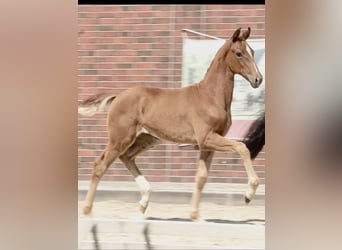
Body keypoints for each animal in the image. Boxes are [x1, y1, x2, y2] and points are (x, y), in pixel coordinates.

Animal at [79, 26, 264, 220]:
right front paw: (248, 194)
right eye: (239, 53)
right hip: (120, 138)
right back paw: (87, 211)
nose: (258, 79)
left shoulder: (207, 144)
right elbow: (242, 148)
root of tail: (118, 95)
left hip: (146, 139)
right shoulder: (207, 138)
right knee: (100, 165)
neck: (210, 97)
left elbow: (201, 177)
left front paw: (195, 216)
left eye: (252, 51)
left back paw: (143, 203)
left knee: (126, 157)